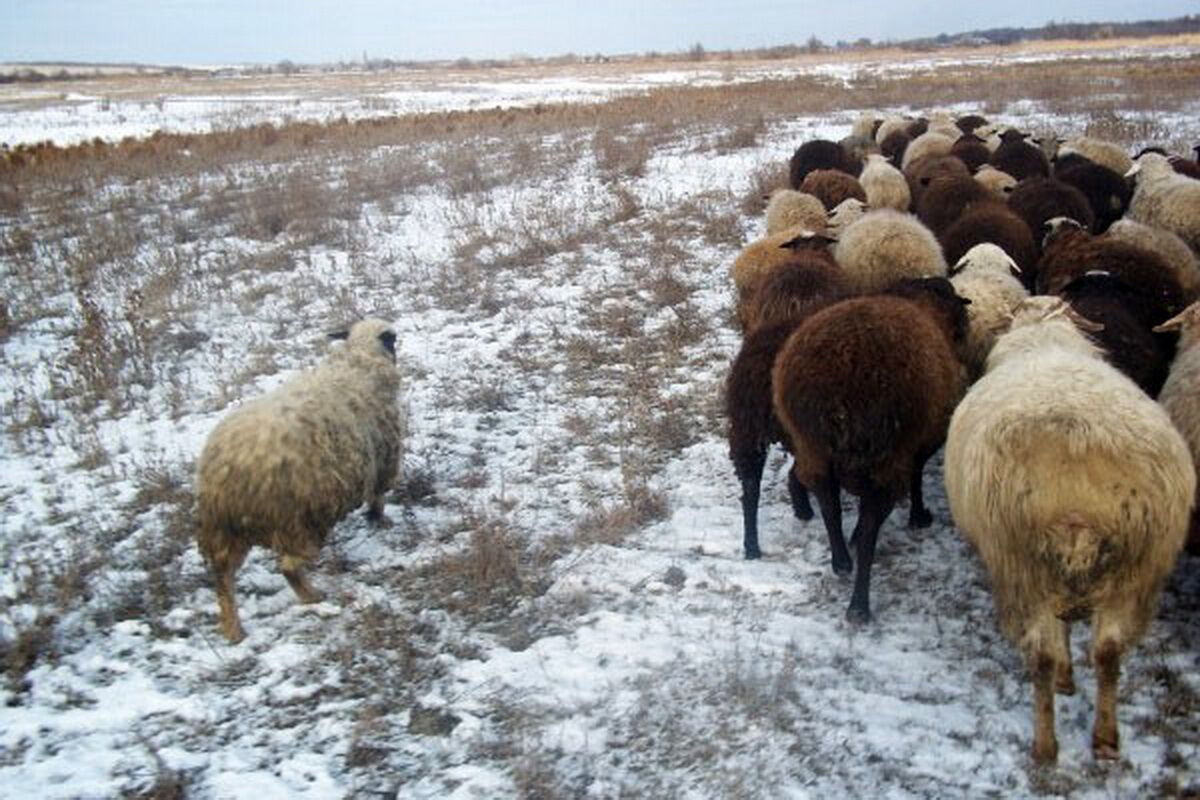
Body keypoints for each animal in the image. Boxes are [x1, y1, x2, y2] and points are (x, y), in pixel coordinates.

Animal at [196, 318, 404, 643]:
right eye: (392, 340)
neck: (358, 361)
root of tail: (227, 472)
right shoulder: (384, 458)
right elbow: (378, 498)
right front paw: (379, 520)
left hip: (224, 531)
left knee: (222, 578)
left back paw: (233, 629)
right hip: (299, 519)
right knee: (288, 566)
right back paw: (311, 596)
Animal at [772, 277, 970, 622]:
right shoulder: (922, 441)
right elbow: (916, 475)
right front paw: (919, 516)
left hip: (814, 447)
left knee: (829, 505)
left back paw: (840, 559)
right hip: (885, 460)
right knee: (867, 533)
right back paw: (858, 605)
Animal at [944, 295, 1193, 763]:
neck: (1043, 336)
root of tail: (1078, 488)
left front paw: (1064, 675)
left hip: (1024, 567)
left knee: (1042, 656)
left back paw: (1045, 745)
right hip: (1134, 570)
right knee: (1109, 653)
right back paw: (1106, 739)